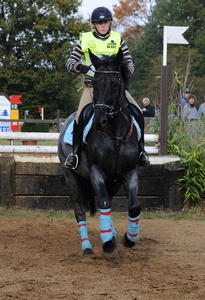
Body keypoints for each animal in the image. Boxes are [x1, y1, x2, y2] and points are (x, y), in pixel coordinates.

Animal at [57, 49, 141, 260]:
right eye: (94, 83)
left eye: (115, 84)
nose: (100, 121)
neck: (116, 134)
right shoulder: (96, 171)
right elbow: (102, 203)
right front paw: (108, 245)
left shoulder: (129, 171)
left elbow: (133, 206)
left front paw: (129, 239)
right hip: (71, 176)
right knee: (80, 209)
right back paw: (87, 246)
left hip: (114, 182)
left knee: (108, 202)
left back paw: (111, 233)